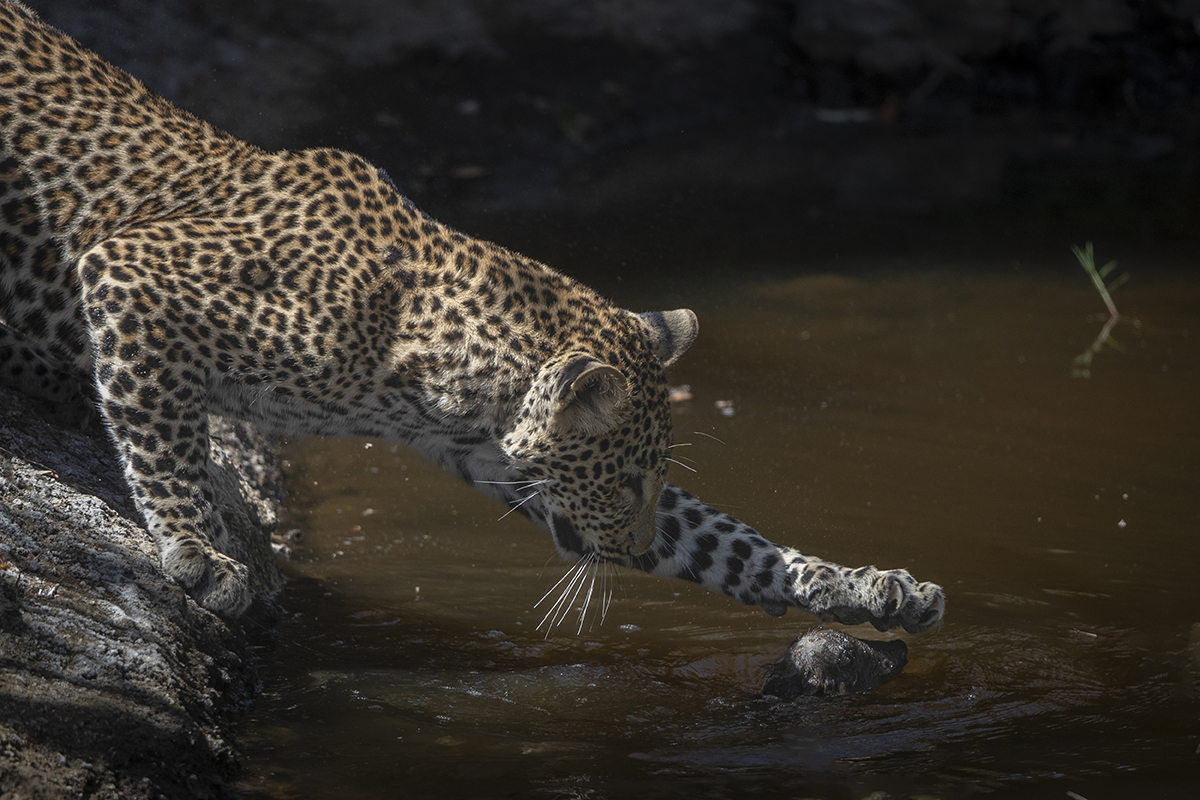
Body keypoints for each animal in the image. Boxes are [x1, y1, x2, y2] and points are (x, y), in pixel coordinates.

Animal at [0, 0, 944, 633]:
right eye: (624, 483)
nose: (633, 552)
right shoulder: (133, 271)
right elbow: (164, 444)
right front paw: (205, 551)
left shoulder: (491, 453)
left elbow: (726, 542)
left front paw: (867, 587)